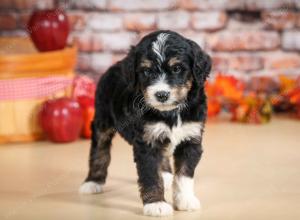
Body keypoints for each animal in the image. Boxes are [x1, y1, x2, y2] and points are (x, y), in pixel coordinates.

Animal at [79, 29, 211, 217]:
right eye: (147, 71)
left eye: (177, 68)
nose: (161, 94)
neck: (171, 113)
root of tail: (114, 66)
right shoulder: (147, 142)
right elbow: (151, 175)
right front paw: (156, 204)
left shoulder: (190, 139)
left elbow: (184, 174)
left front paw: (185, 200)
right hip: (102, 120)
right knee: (99, 150)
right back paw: (92, 182)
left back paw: (166, 176)